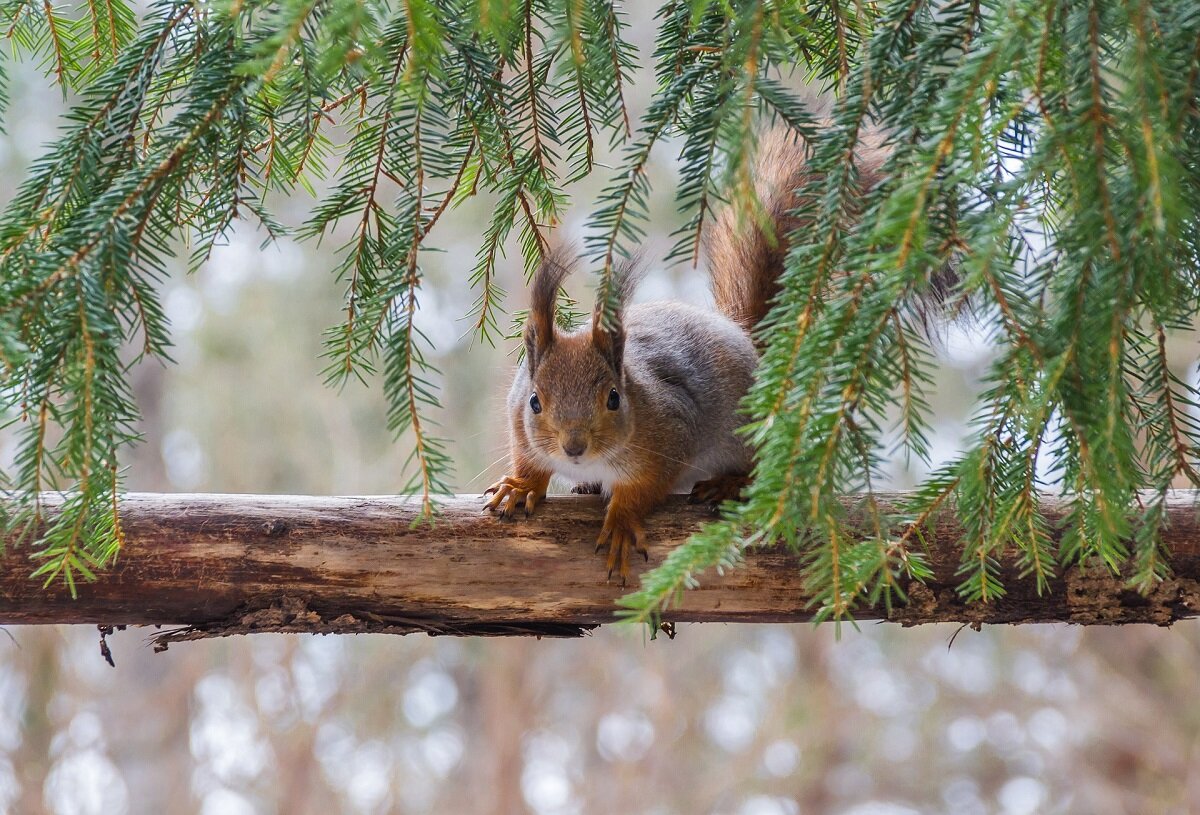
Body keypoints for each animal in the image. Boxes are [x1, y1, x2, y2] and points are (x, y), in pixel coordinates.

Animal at [482, 127, 888, 580]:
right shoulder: (518, 421)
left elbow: (644, 490)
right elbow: (529, 462)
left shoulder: (671, 435)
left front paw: (621, 522)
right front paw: (520, 486)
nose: (574, 447)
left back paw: (730, 482)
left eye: (614, 398)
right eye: (535, 402)